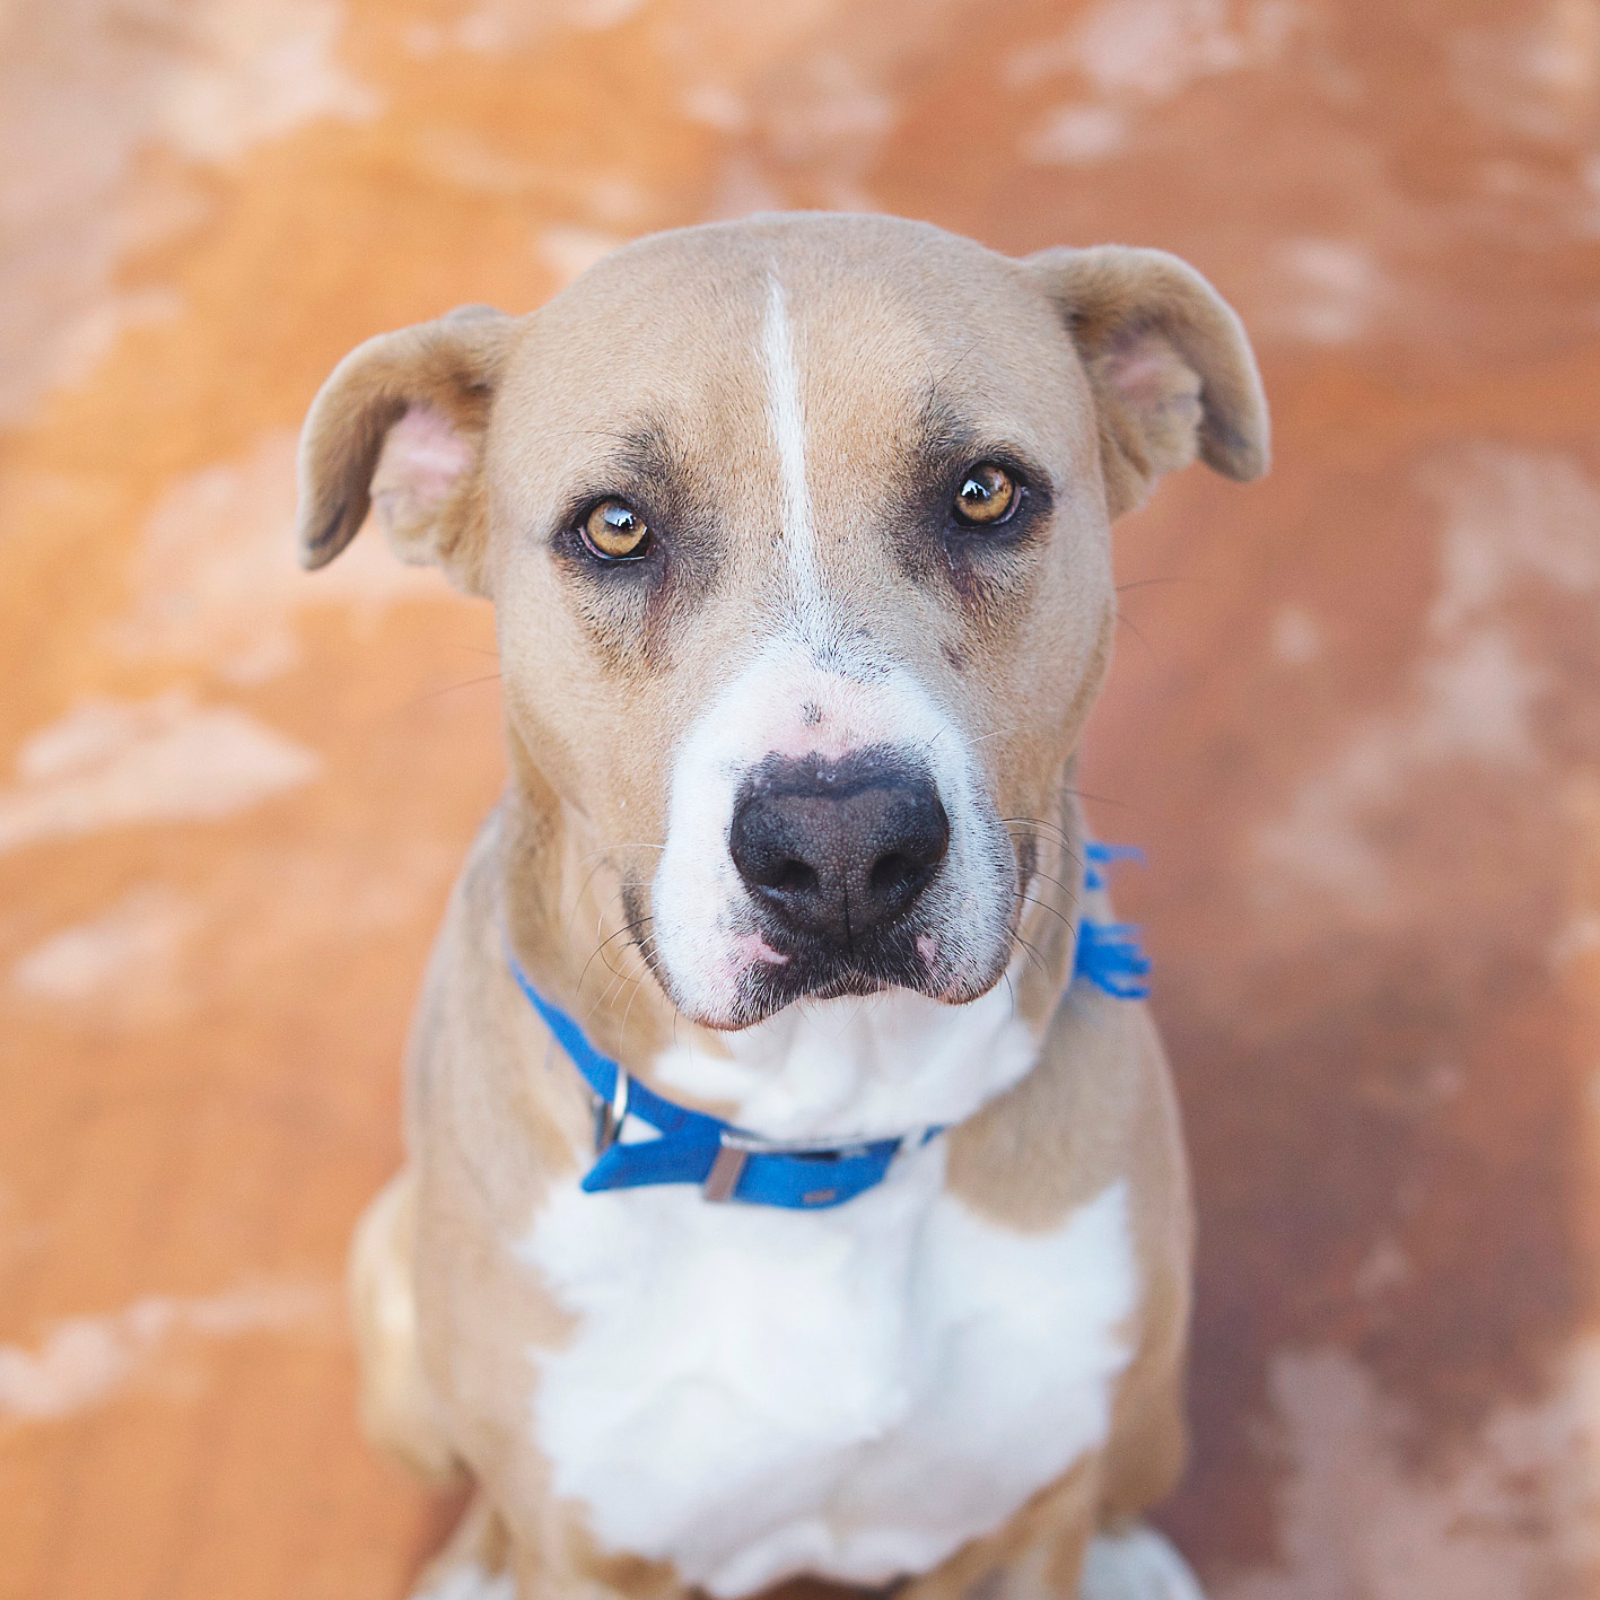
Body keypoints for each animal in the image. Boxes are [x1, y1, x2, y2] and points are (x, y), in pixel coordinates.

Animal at [294, 212, 1267, 1600]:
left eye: (985, 492)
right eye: (614, 526)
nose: (840, 844)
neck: (823, 1145)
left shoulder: (1024, 1522)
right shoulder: (590, 1554)